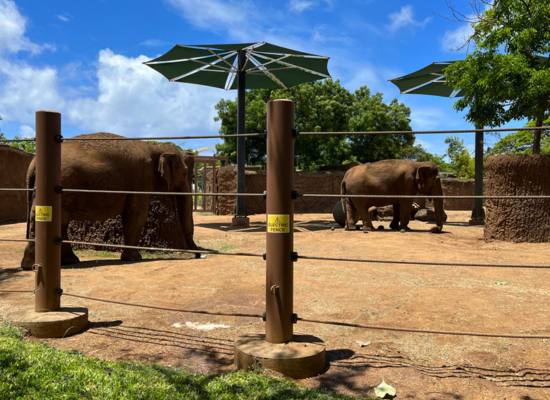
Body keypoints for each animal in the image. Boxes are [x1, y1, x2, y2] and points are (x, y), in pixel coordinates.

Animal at [21, 133, 201, 270]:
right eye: (184, 173)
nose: (198, 255)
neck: (154, 146)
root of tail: (33, 163)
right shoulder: (141, 179)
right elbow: (137, 213)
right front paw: (135, 258)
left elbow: (129, 215)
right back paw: (34, 266)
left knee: (59, 222)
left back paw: (66, 261)